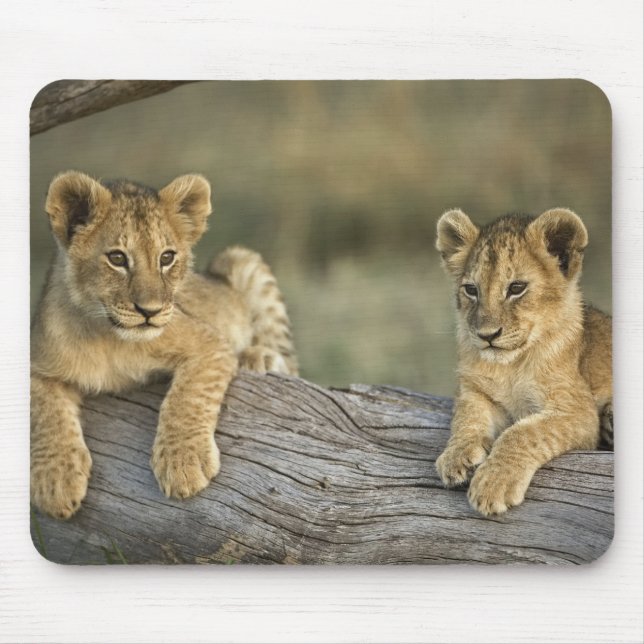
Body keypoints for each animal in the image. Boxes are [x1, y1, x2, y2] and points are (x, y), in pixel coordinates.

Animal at [31, 171, 298, 519]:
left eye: (167, 257)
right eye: (117, 258)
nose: (151, 311)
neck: (107, 337)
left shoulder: (209, 342)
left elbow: (188, 398)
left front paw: (184, 463)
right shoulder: (36, 359)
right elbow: (44, 414)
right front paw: (55, 482)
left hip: (240, 260)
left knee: (289, 361)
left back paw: (260, 357)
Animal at [434, 208, 612, 516]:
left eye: (516, 288)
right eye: (471, 290)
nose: (487, 335)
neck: (510, 366)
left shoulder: (578, 411)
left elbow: (523, 432)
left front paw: (493, 484)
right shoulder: (475, 390)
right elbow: (465, 417)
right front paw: (455, 456)